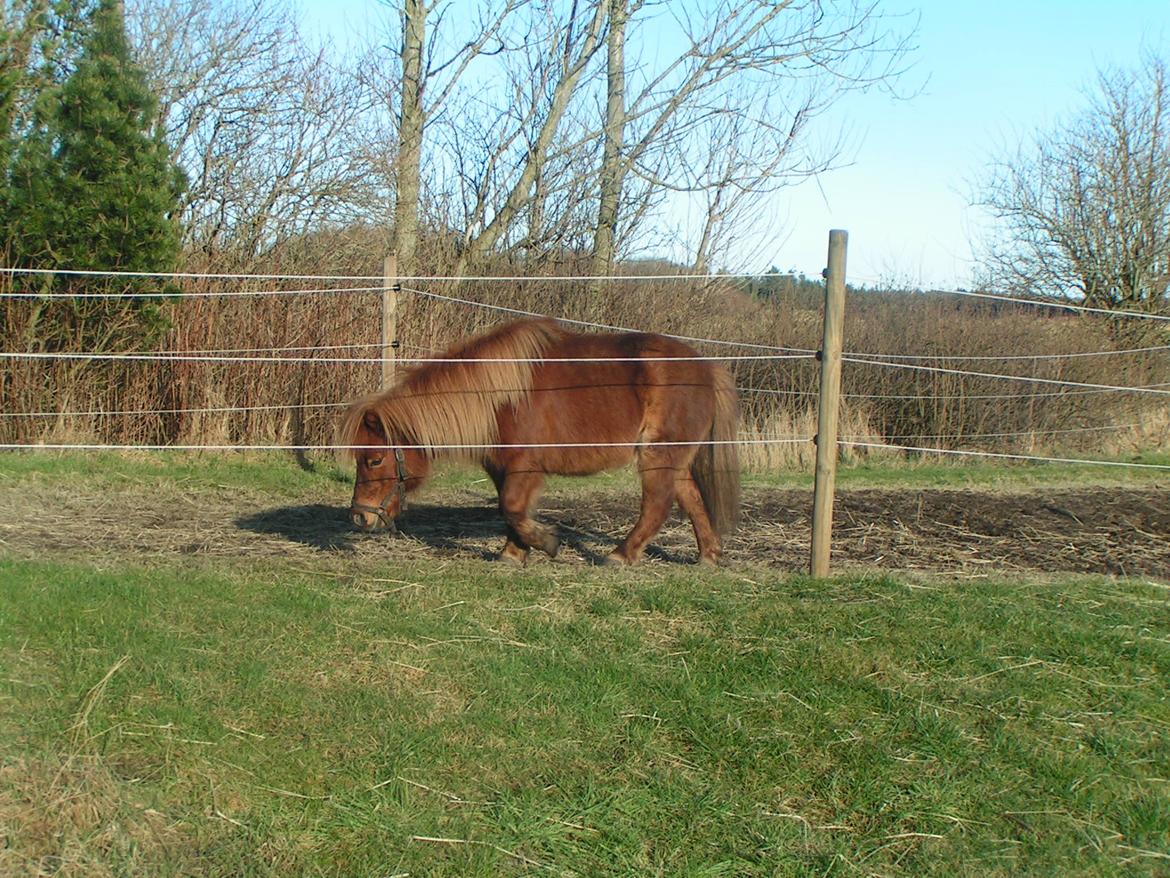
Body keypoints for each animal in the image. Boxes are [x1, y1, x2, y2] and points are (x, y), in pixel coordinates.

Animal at [341, 320, 739, 566]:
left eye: (374, 460)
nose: (359, 517)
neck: (500, 398)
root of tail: (708, 368)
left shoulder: (524, 466)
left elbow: (513, 507)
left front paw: (545, 542)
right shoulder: (502, 467)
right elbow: (510, 512)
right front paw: (514, 553)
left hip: (658, 454)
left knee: (657, 505)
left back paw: (620, 555)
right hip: (674, 458)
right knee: (692, 499)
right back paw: (708, 556)